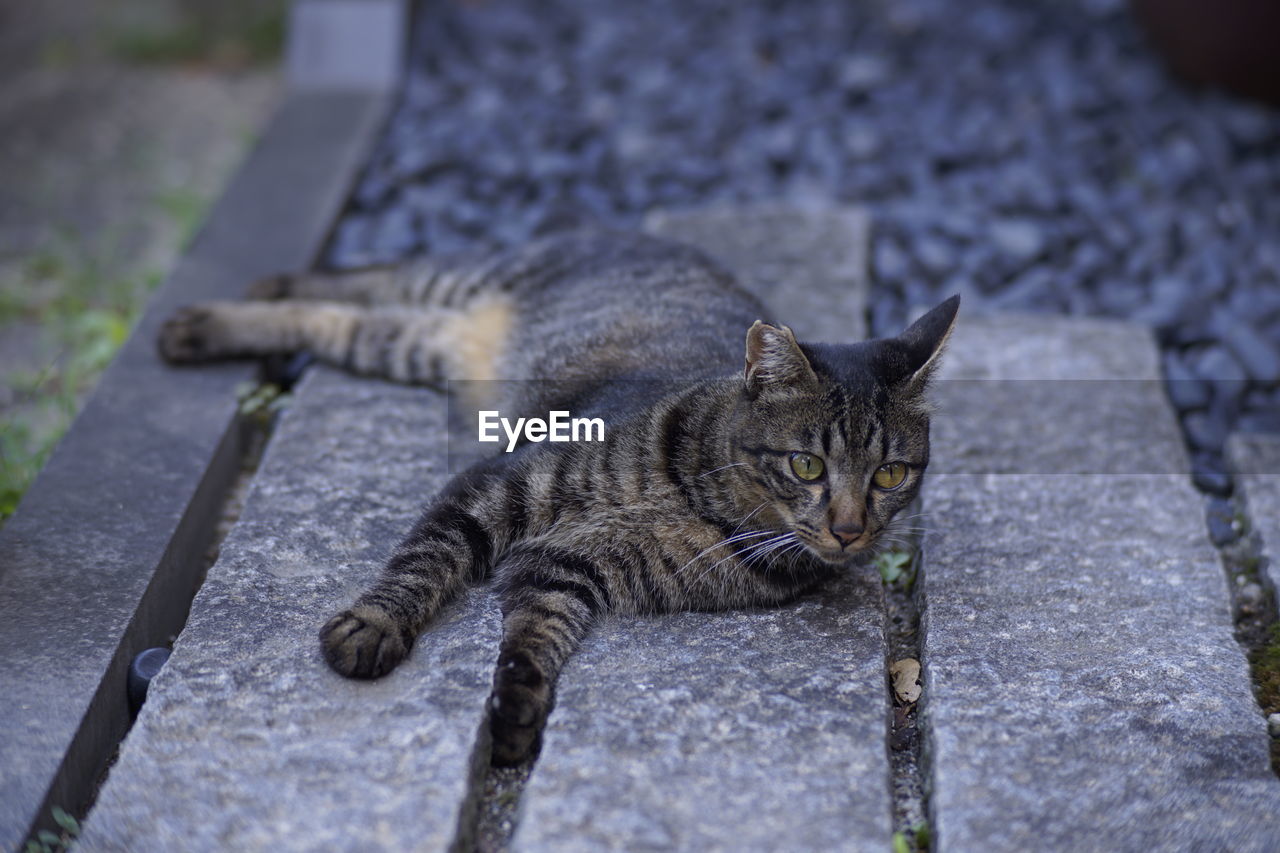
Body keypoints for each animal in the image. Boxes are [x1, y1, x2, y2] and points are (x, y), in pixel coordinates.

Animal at [157, 227, 962, 763]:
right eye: (805, 465)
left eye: (890, 475)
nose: (851, 530)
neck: (710, 509)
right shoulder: (497, 484)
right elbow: (424, 560)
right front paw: (373, 624)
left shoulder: (571, 564)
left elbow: (535, 634)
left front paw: (516, 710)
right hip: (463, 279)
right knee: (375, 275)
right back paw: (228, 306)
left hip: (413, 342)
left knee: (342, 320)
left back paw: (219, 319)